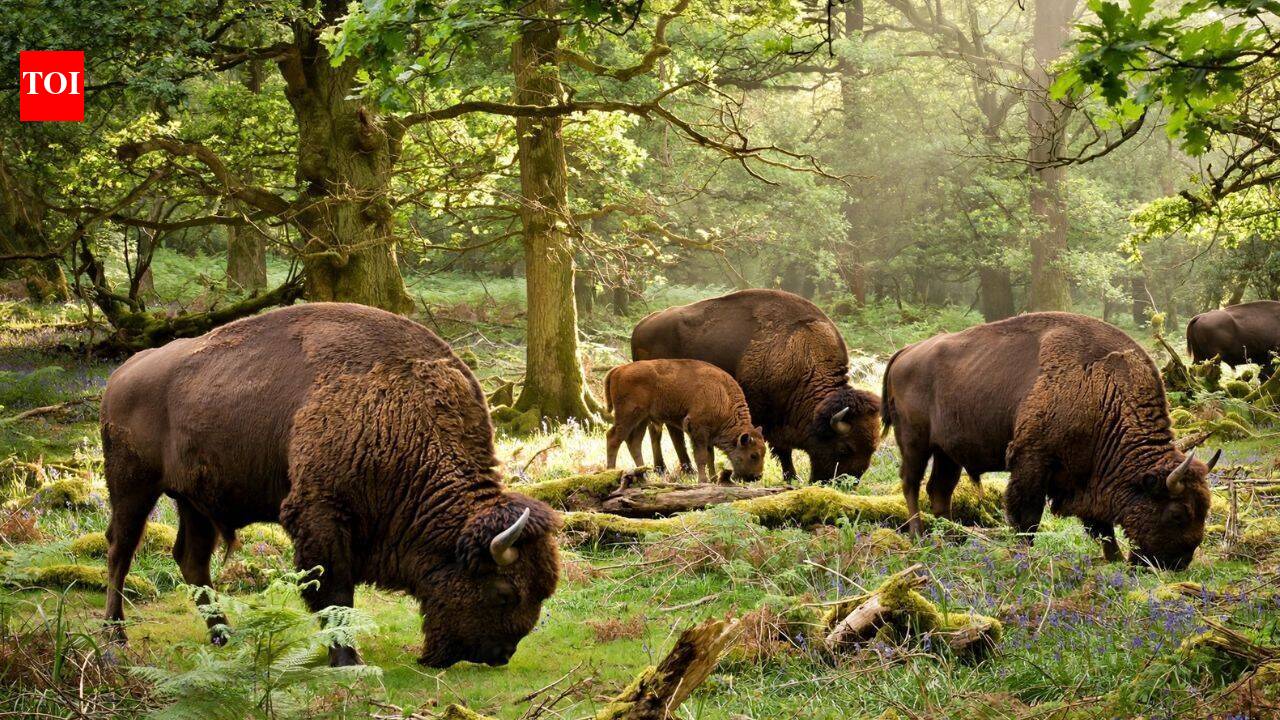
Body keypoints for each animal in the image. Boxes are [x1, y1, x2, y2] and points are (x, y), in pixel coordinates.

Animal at [101, 303, 560, 667]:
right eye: (505, 592)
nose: (499, 655)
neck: (403, 417)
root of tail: (123, 372)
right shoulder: (322, 515)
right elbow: (336, 591)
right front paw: (347, 659)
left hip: (195, 501)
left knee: (191, 559)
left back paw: (223, 635)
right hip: (132, 489)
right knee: (120, 552)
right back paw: (114, 636)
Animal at [631, 289, 880, 483]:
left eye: (872, 448)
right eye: (844, 447)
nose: (846, 483)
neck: (801, 354)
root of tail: (642, 324)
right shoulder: (767, 416)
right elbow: (781, 449)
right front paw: (791, 476)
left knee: (661, 429)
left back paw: (665, 469)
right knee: (668, 431)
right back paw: (684, 470)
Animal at [882, 312, 1219, 569]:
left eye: (1204, 509)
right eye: (1178, 513)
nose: (1178, 563)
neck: (1102, 389)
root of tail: (905, 352)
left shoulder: (1086, 475)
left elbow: (1101, 526)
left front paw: (1114, 559)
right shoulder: (1032, 461)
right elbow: (1027, 516)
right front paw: (1023, 554)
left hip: (947, 453)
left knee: (939, 490)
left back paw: (952, 538)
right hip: (914, 441)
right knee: (911, 483)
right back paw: (918, 535)